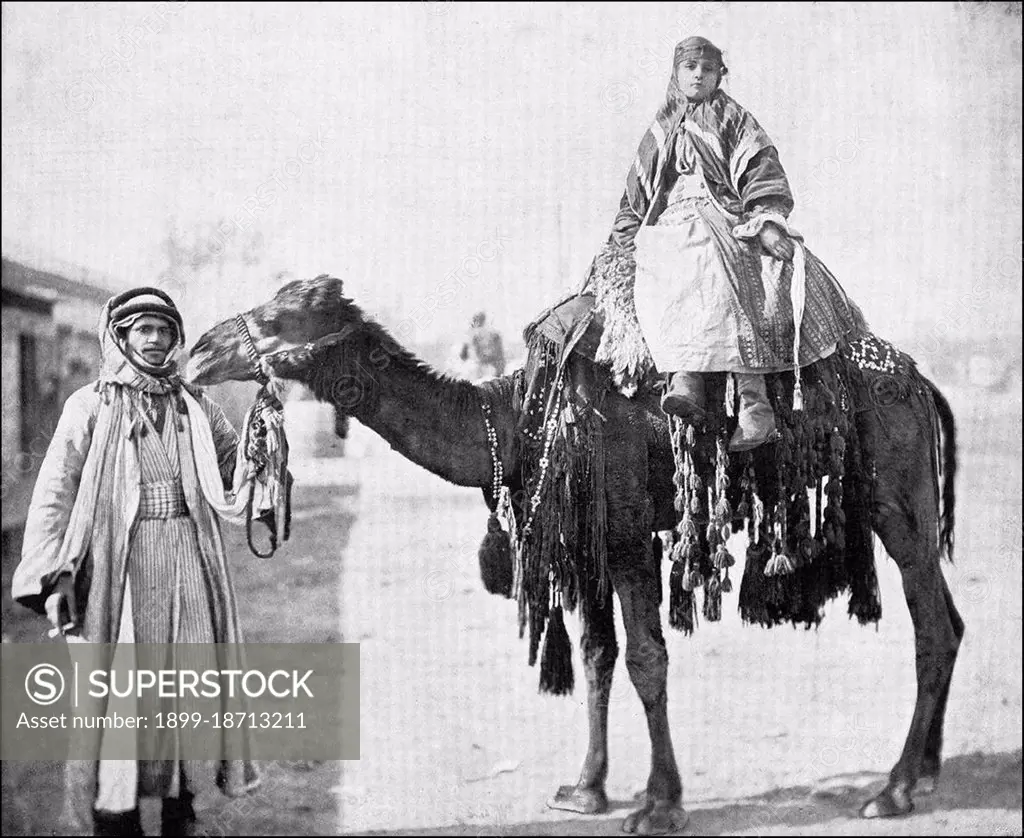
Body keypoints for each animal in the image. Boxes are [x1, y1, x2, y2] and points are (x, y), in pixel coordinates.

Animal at [184, 274, 958, 827]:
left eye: (279, 319)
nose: (198, 351)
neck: (512, 417)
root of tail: (921, 380)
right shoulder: (584, 538)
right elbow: (595, 655)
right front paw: (585, 788)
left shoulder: (626, 534)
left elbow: (646, 659)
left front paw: (660, 804)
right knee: (948, 620)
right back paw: (924, 771)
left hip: (896, 497)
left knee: (931, 626)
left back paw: (891, 790)